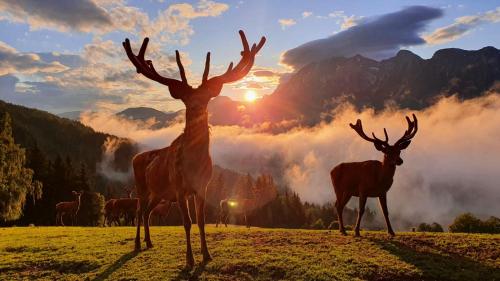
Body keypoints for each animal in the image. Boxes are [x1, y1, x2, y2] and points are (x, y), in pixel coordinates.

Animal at [124, 29, 266, 266]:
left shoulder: (202, 187)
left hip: (159, 193)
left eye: (207, 97)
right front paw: (189, 260)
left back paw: (149, 242)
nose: (198, 108)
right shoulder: (179, 187)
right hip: (142, 186)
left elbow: (200, 220)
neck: (195, 164)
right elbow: (187, 222)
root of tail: (135, 157)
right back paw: (136, 243)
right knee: (138, 211)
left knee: (147, 212)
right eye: (186, 99)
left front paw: (207, 255)